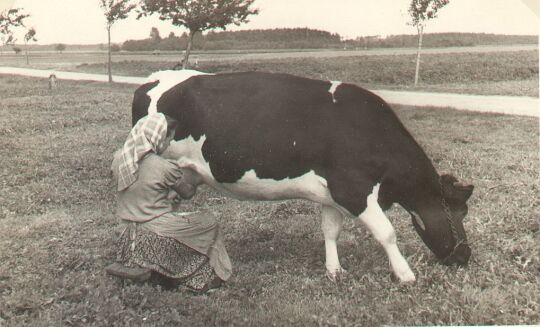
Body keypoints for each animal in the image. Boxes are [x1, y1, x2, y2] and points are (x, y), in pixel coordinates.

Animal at [130, 70, 472, 284]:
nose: (465, 256)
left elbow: (331, 231)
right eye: (459, 211)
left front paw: (334, 271)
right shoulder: (353, 190)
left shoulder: (332, 194)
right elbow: (387, 232)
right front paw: (405, 274)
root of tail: (153, 78)